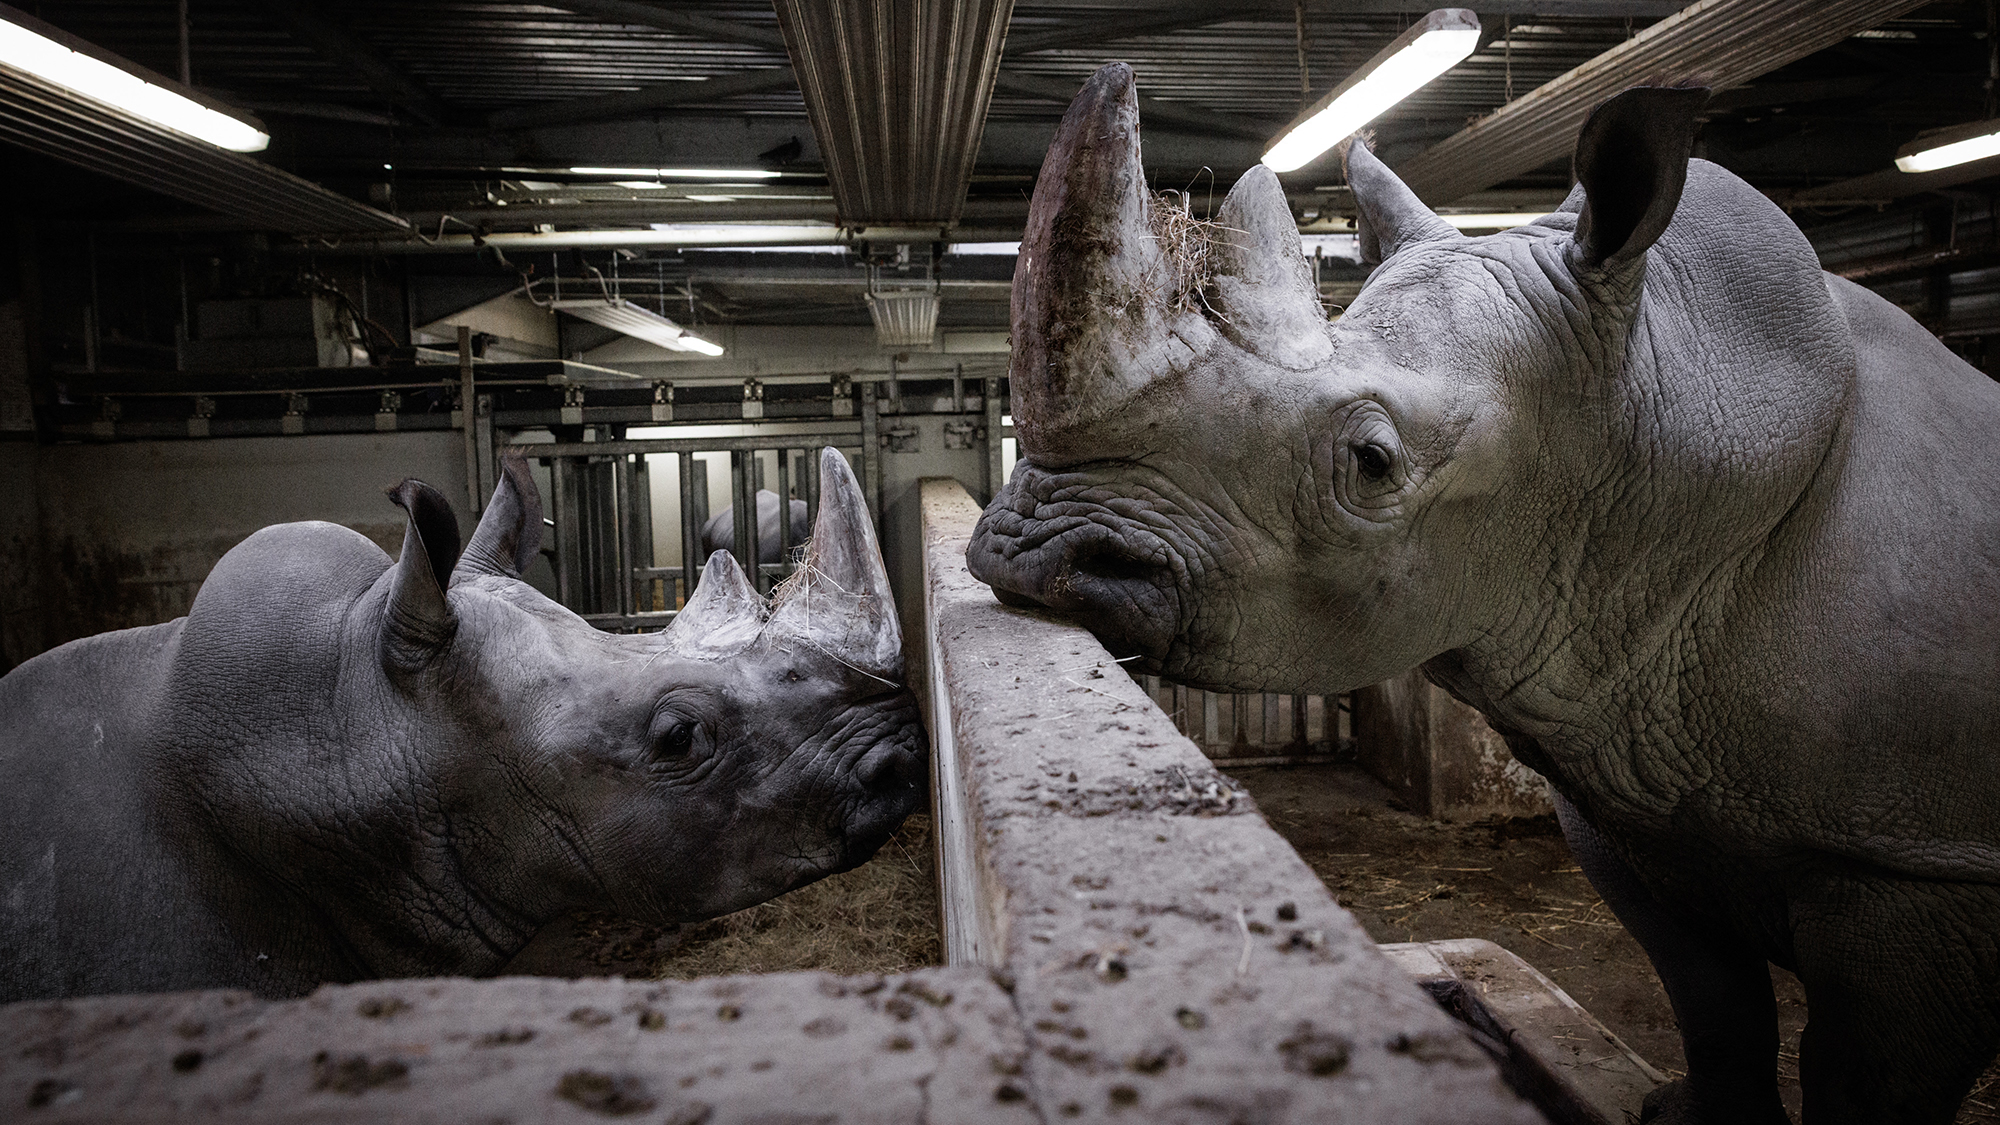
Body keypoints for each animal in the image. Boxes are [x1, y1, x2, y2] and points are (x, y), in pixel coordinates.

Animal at [968, 64, 2000, 1124]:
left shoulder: (1919, 858)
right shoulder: (1625, 774)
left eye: (1372, 463)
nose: (1029, 553)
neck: (1654, 406)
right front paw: (1686, 1116)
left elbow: (1862, 1072)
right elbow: (1711, 995)